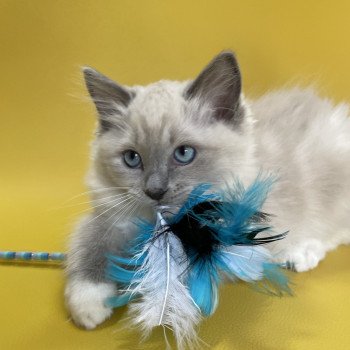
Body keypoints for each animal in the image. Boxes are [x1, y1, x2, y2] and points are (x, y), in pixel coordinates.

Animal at [63, 51, 350, 328]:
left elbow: (178, 269)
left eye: (184, 154)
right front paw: (88, 304)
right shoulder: (108, 216)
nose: (155, 191)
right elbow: (89, 244)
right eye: (132, 159)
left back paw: (301, 252)